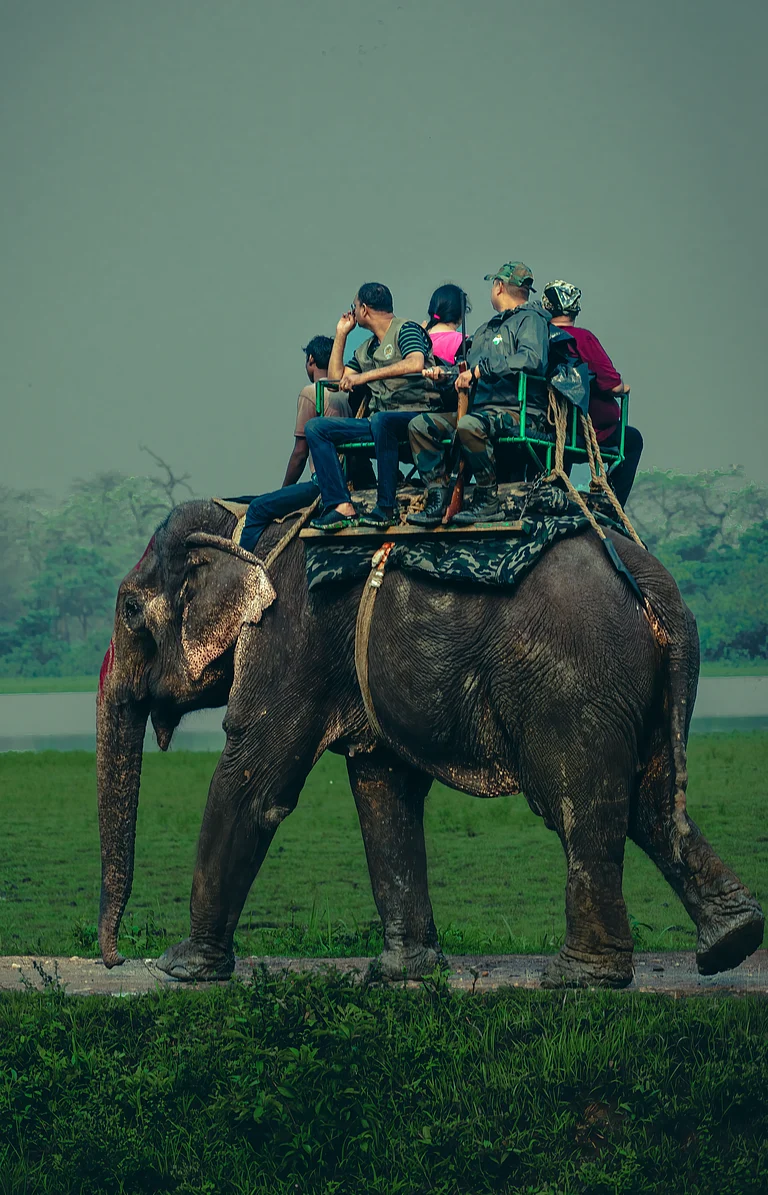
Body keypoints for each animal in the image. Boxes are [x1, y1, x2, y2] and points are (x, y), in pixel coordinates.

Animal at [96, 498, 764, 988]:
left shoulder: (290, 633)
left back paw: (578, 978)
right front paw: (402, 974)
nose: (116, 959)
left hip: (573, 676)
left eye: (129, 609)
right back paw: (731, 943)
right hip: (647, 677)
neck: (244, 522)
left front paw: (182, 969)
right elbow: (382, 785)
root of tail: (650, 578)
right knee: (652, 803)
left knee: (583, 806)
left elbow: (255, 783)